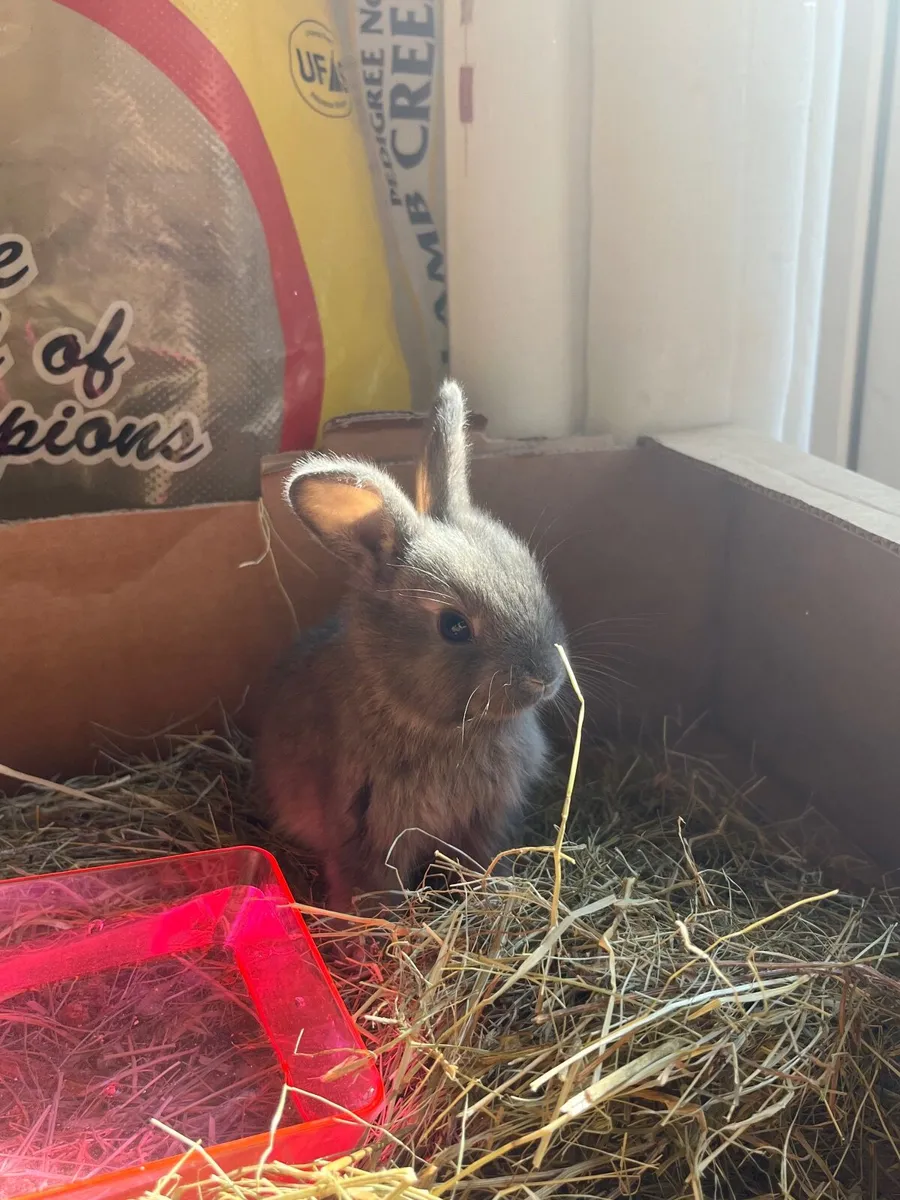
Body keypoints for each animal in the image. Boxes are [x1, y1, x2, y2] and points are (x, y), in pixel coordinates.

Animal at [253, 380, 567, 913]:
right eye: (454, 626)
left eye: (531, 574)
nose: (545, 676)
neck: (443, 728)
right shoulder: (367, 828)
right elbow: (369, 882)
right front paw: (377, 919)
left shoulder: (483, 823)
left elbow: (478, 862)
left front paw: (484, 894)